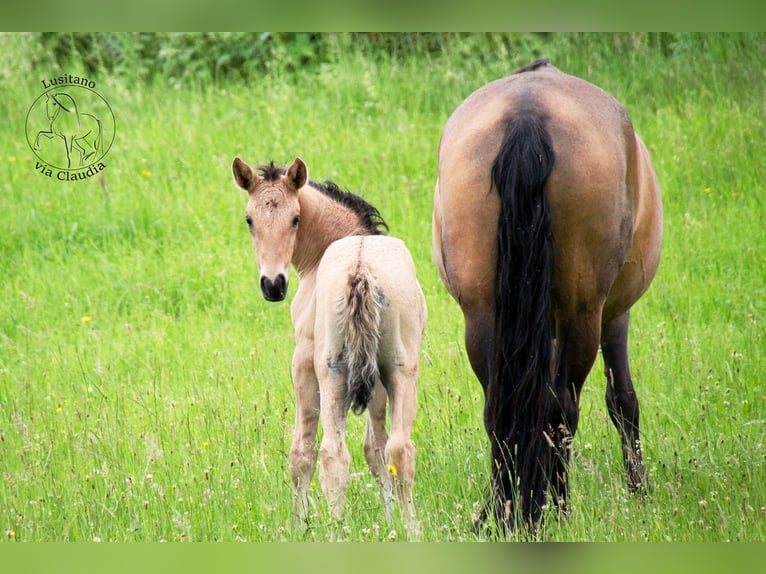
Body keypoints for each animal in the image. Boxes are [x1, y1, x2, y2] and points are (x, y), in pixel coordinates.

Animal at [231, 156, 428, 536]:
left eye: (295, 218)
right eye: (249, 219)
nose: (273, 285)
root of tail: (360, 269)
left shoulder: (304, 361)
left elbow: (301, 452)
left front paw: (298, 525)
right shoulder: (375, 378)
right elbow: (376, 449)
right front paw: (390, 521)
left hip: (331, 372)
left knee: (332, 454)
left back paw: (336, 530)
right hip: (400, 369)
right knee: (399, 449)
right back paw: (412, 531)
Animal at [436, 58, 664, 532]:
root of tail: (528, 115)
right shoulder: (614, 314)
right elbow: (623, 400)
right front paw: (639, 489)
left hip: (483, 316)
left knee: (501, 410)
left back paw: (504, 510)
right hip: (583, 315)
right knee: (561, 410)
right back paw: (556, 508)